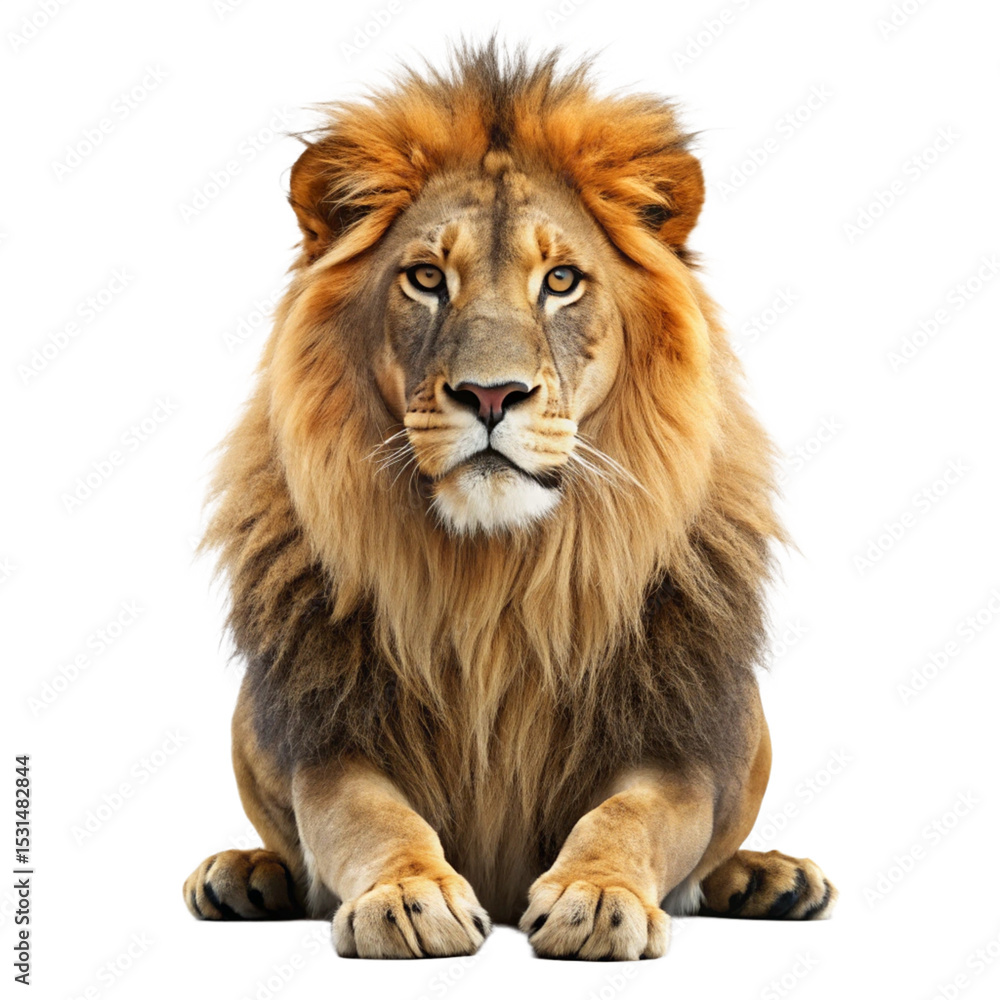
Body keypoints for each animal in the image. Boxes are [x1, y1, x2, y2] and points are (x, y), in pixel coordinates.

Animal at [183, 42, 836, 961]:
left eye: (560, 280)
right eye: (426, 277)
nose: (491, 395)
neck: (495, 574)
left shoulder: (676, 739)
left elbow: (630, 816)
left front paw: (597, 895)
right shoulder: (329, 737)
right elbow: (364, 817)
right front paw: (407, 893)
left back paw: (772, 879)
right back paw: (242, 875)